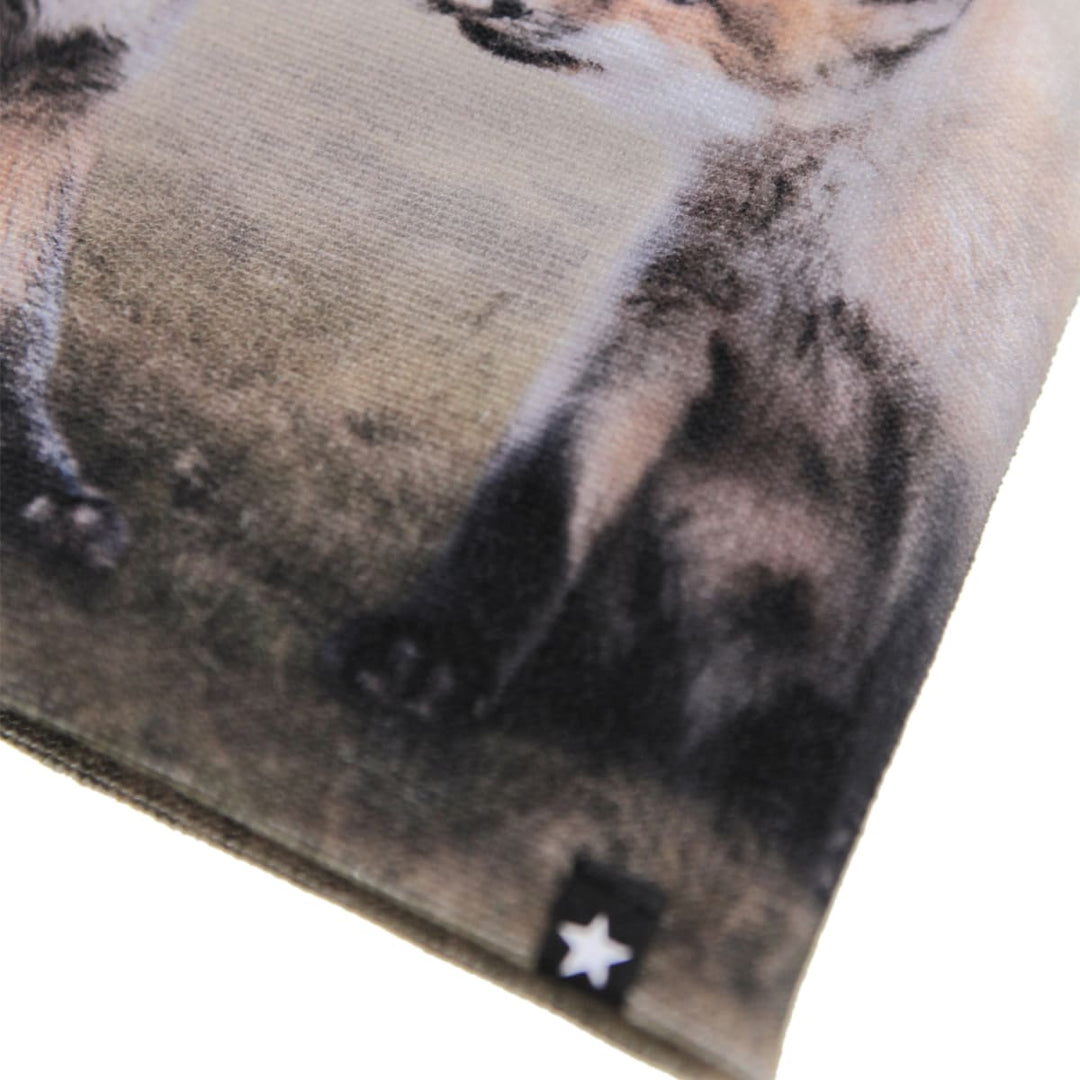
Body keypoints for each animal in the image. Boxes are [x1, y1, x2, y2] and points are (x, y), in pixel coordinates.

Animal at [2, 2, 1078, 871]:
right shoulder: (668, 312)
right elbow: (538, 498)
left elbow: (885, 677)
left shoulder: (950, 454)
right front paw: (430, 655)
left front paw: (801, 840)